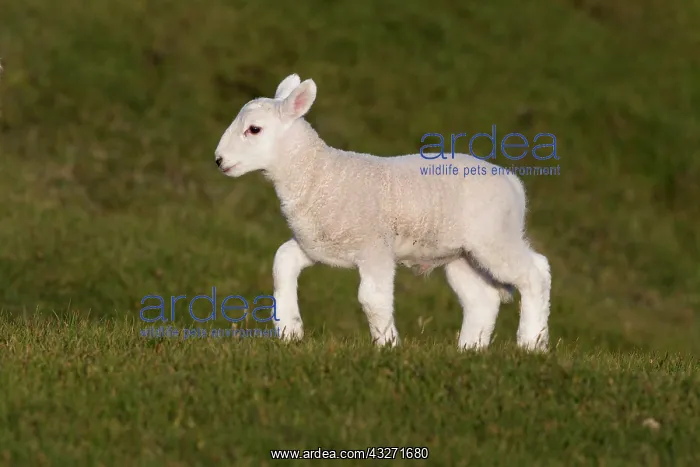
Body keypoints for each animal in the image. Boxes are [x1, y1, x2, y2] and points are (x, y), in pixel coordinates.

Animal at [214, 73, 551, 351]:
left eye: (254, 130)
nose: (219, 160)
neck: (319, 174)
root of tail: (512, 181)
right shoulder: (317, 244)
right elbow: (282, 261)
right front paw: (289, 331)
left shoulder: (374, 247)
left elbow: (371, 298)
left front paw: (388, 346)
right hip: (461, 254)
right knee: (482, 299)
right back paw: (470, 349)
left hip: (494, 236)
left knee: (535, 272)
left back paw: (531, 343)